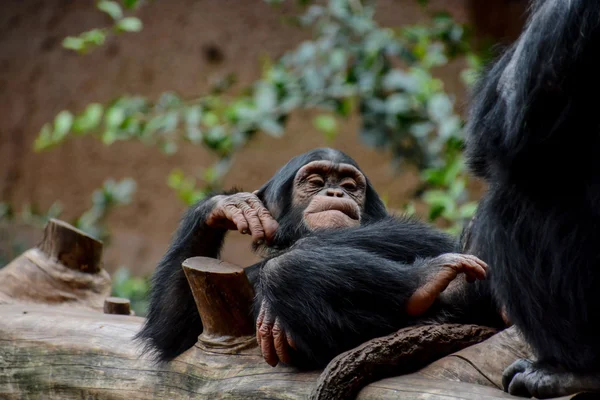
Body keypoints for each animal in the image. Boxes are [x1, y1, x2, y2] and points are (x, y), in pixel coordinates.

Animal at [136, 147, 502, 368]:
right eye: (315, 181)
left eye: (350, 185)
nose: (335, 191)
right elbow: (173, 336)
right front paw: (226, 205)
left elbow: (426, 236)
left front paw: (271, 310)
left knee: (283, 270)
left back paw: (426, 280)